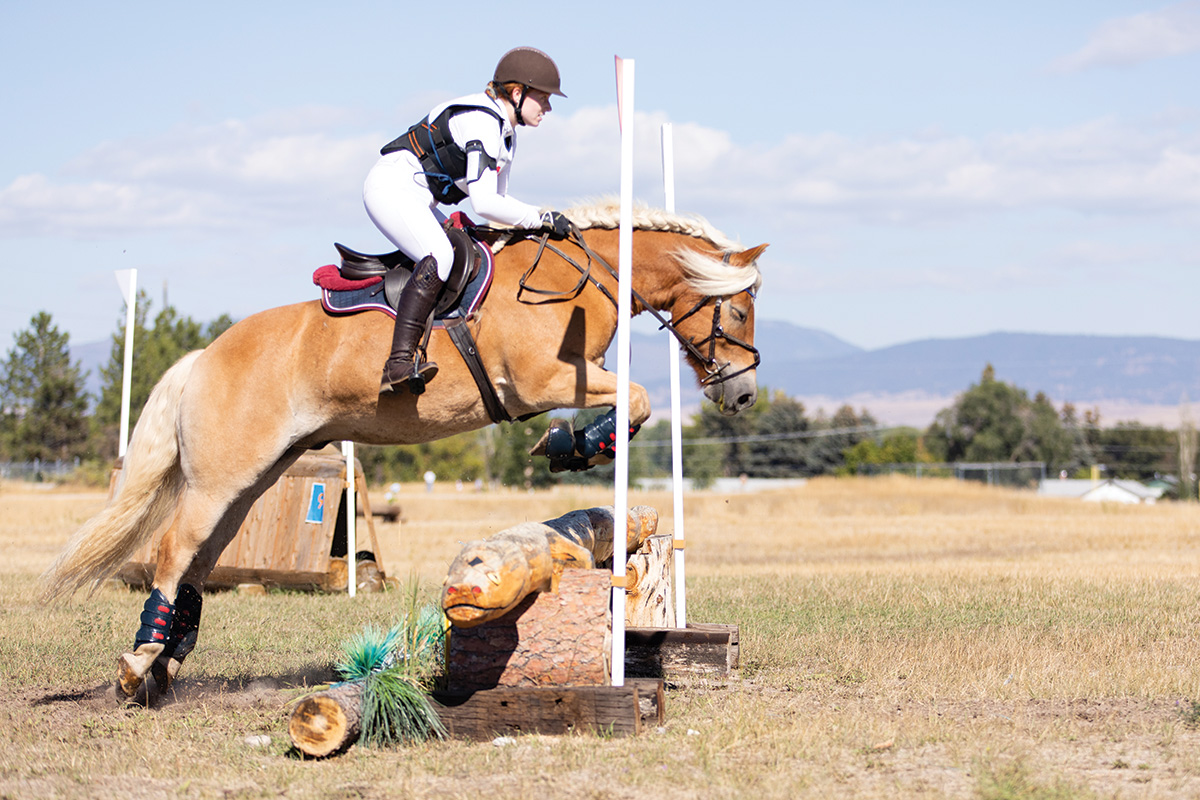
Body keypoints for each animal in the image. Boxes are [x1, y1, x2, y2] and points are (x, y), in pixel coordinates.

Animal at [41, 199, 767, 703]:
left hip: (251, 479)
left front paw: (569, 443)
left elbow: (631, 402)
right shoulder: (543, 380)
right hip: (221, 478)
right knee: (172, 551)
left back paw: (164, 668)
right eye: (736, 312)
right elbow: (637, 398)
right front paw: (575, 446)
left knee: (198, 561)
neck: (584, 277)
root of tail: (204, 356)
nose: (743, 395)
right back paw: (138, 666)